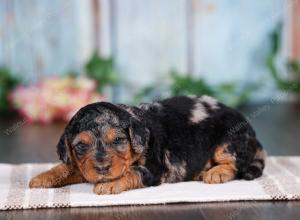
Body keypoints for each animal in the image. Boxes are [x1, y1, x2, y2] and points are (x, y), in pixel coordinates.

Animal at [29, 96, 266, 194]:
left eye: (118, 140)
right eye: (80, 146)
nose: (103, 168)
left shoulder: (154, 168)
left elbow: (133, 171)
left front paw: (109, 184)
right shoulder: (84, 165)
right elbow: (68, 167)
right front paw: (42, 177)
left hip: (227, 142)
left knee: (236, 164)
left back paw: (215, 172)